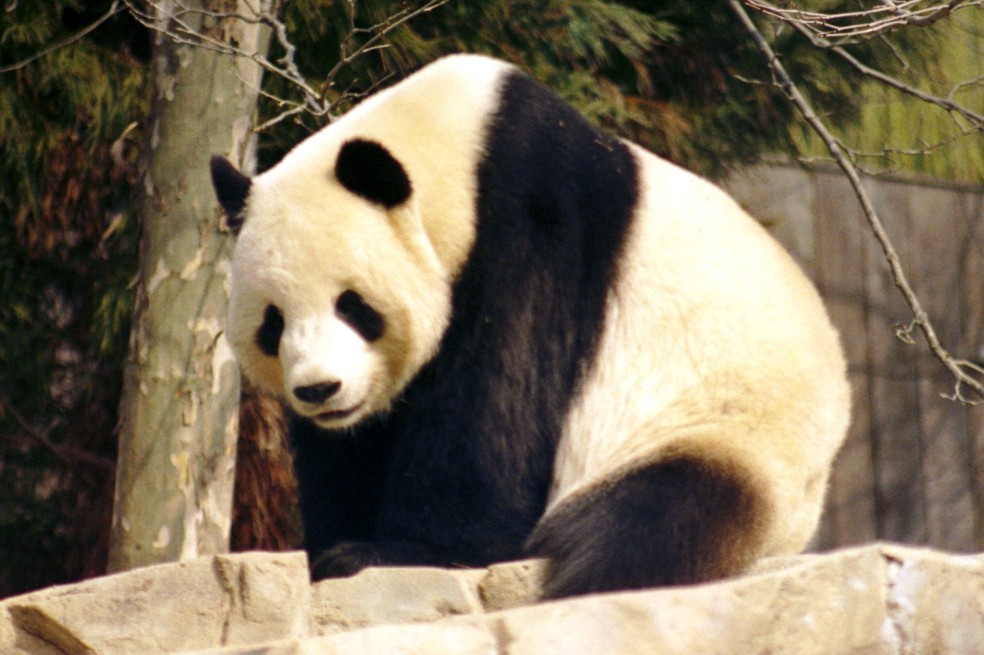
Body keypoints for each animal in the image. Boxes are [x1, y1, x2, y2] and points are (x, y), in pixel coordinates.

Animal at [210, 54, 850, 599]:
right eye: (273, 323)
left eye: (353, 306)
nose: (320, 390)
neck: (457, 149)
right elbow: (352, 447)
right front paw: (334, 544)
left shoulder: (533, 230)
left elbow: (498, 402)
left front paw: (393, 552)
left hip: (723, 432)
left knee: (654, 522)